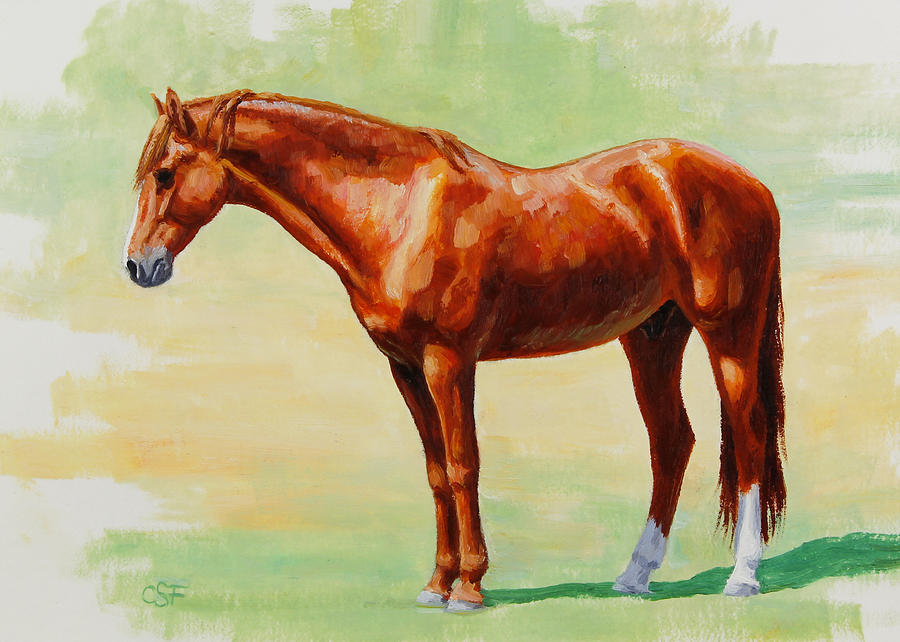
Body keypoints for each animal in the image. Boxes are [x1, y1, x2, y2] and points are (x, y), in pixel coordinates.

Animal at [124, 88, 785, 611]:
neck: (400, 207)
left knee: (748, 435)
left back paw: (742, 578)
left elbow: (466, 465)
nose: (138, 266)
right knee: (672, 442)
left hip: (727, 332)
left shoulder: (449, 361)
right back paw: (634, 576)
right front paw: (436, 584)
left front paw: (468, 588)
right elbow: (437, 471)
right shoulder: (405, 367)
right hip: (653, 337)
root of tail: (750, 183)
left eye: (165, 173)